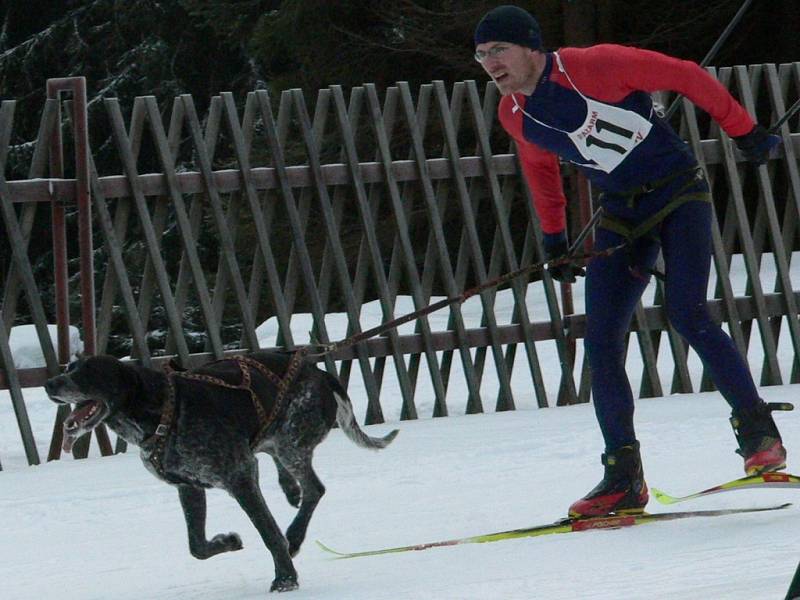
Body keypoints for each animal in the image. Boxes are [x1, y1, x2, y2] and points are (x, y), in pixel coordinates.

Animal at [42, 350, 398, 592]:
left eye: (88, 371)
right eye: (69, 368)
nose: (48, 384)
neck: (163, 409)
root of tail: (320, 371)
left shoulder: (239, 477)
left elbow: (269, 534)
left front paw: (285, 579)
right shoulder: (189, 487)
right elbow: (197, 546)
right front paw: (227, 541)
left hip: (292, 442)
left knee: (314, 489)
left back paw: (295, 533)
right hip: (277, 440)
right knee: (284, 467)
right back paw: (289, 488)